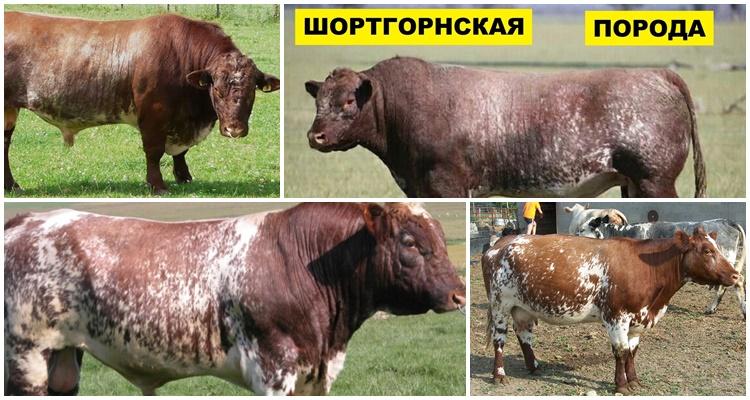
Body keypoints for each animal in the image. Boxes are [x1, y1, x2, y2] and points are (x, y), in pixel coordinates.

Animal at [4, 12, 280, 194]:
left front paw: (184, 176)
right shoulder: (153, 114)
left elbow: (181, 153)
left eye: (252, 91)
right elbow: (154, 152)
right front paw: (157, 185)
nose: (235, 129)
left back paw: (11, 185)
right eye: (218, 90)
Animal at [4, 203, 465, 395]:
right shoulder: (274, 370)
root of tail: (28, 219)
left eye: (442, 239)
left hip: (64, 357)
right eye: (410, 242)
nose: (459, 293)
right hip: (26, 355)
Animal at [303, 56, 706, 198]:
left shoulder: (447, 186)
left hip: (655, 179)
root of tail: (656, 73)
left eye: (348, 102)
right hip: (633, 183)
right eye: (318, 100)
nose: (314, 135)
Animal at [482, 229, 739, 394]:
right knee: (499, 340)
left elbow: (632, 352)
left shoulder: (638, 319)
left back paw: (534, 366)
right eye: (707, 250)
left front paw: (634, 381)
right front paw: (621, 385)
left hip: (522, 307)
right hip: (500, 304)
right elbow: (621, 352)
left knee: (524, 334)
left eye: (716, 248)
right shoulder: (616, 316)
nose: (736, 274)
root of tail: (501, 242)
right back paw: (499, 375)